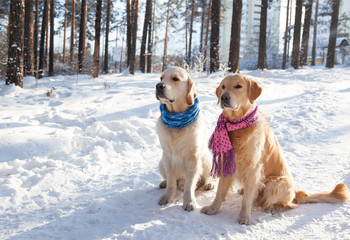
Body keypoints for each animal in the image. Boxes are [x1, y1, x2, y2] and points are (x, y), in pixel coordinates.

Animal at [156, 66, 213, 211]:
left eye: (175, 79)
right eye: (161, 78)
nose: (159, 86)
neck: (177, 119)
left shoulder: (193, 157)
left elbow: (189, 185)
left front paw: (189, 202)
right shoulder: (167, 155)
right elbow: (171, 181)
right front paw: (167, 197)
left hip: (207, 159)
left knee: (209, 177)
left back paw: (209, 184)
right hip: (161, 163)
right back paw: (163, 183)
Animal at [201, 73, 348, 225]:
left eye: (238, 86)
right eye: (223, 86)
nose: (224, 97)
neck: (238, 124)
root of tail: (296, 192)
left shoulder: (253, 168)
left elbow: (246, 199)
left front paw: (244, 217)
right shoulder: (227, 162)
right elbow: (220, 191)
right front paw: (212, 208)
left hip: (275, 183)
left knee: (286, 204)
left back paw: (270, 208)